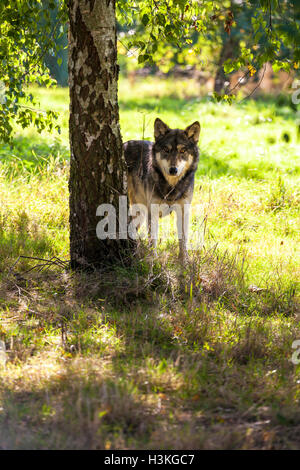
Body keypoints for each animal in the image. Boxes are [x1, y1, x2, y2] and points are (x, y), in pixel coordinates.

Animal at [123, 117, 200, 260]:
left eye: (183, 151)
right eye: (166, 150)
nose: (173, 170)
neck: (171, 187)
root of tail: (125, 143)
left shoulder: (184, 211)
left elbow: (183, 239)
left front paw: (184, 261)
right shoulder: (152, 212)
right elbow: (153, 239)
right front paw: (153, 260)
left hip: (140, 212)